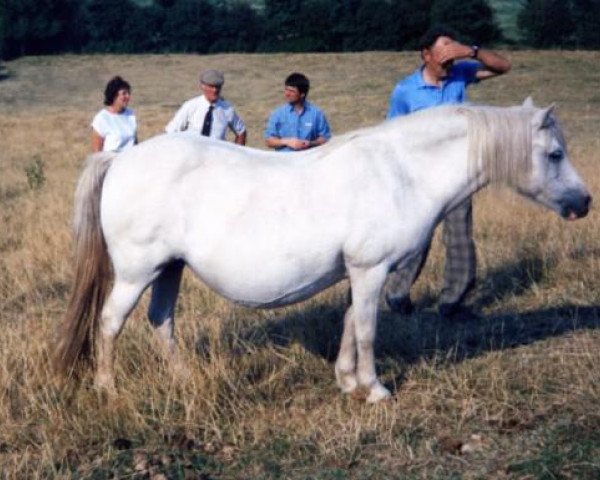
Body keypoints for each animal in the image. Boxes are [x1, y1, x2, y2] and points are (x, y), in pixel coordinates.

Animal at [56, 100, 592, 402]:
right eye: (555, 154)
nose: (584, 202)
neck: (400, 170)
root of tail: (121, 159)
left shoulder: (360, 272)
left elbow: (351, 325)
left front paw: (347, 382)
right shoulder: (371, 270)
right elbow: (369, 331)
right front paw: (375, 391)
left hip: (170, 269)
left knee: (161, 322)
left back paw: (186, 380)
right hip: (137, 272)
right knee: (110, 323)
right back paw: (107, 389)